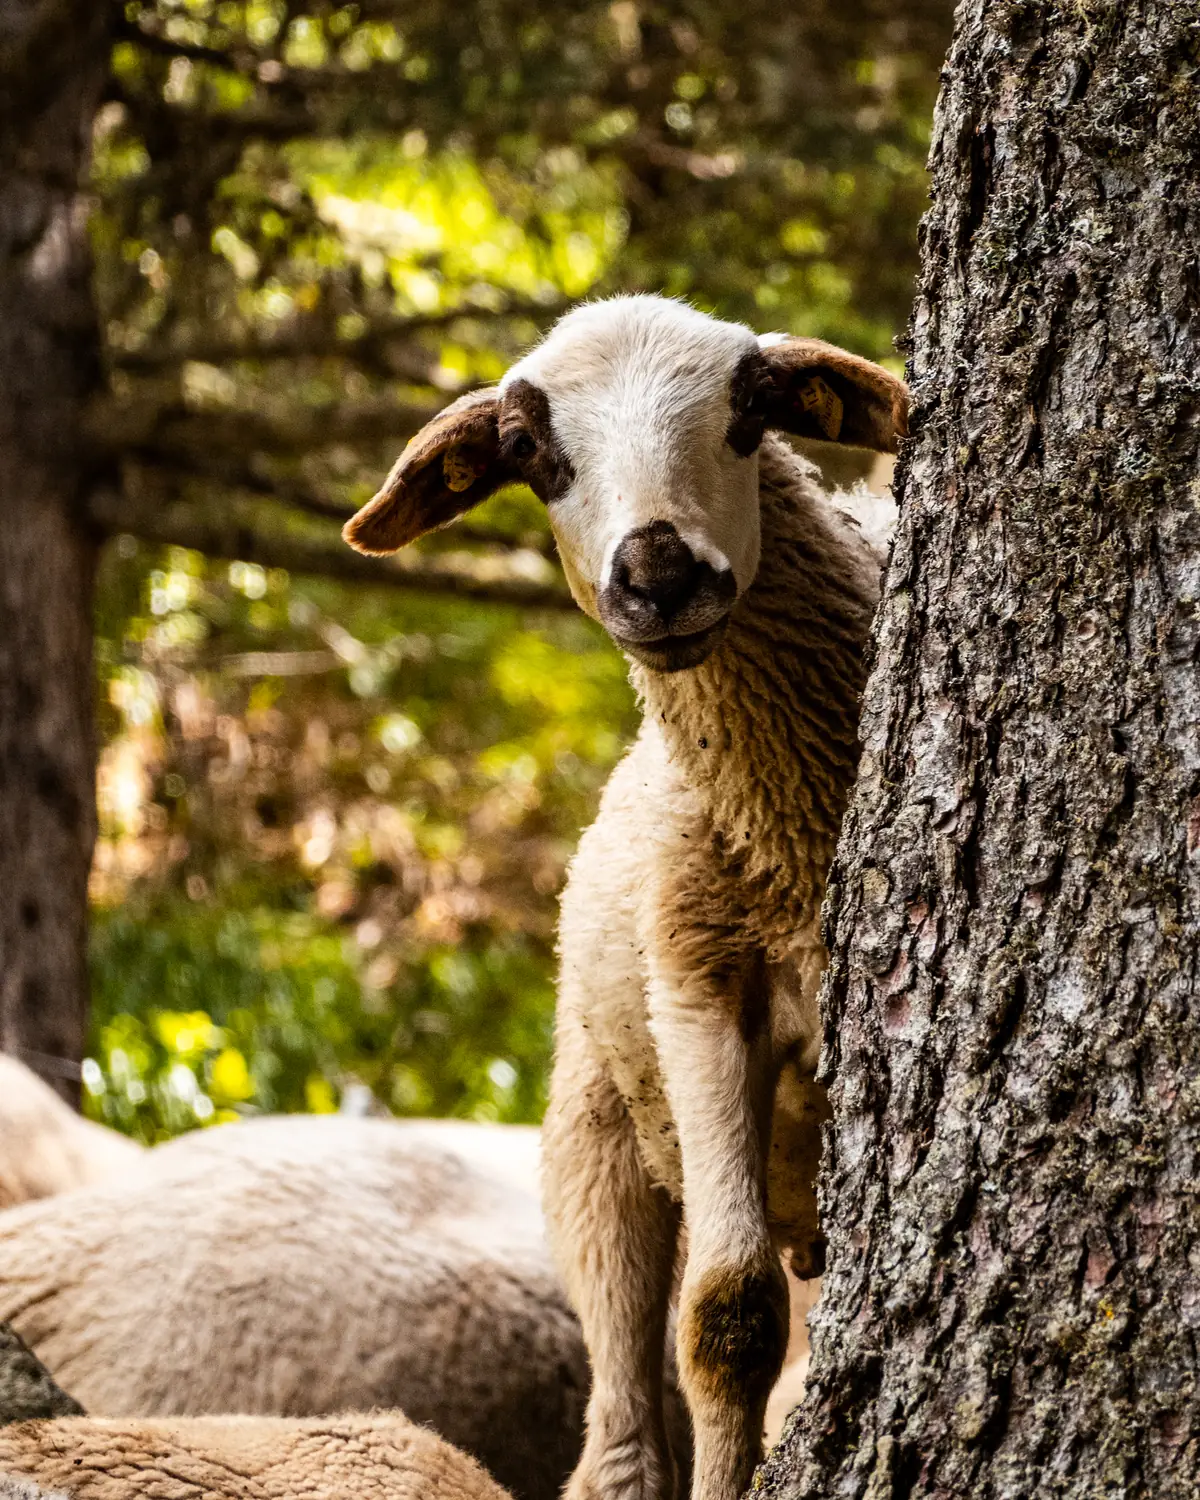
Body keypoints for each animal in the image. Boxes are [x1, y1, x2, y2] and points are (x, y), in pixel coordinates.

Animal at [343, 294, 907, 1500]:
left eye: (753, 410)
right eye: (528, 451)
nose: (658, 574)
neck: (798, 835)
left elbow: (738, 1323)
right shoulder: (696, 985)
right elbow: (728, 1317)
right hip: (594, 1131)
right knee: (621, 1398)